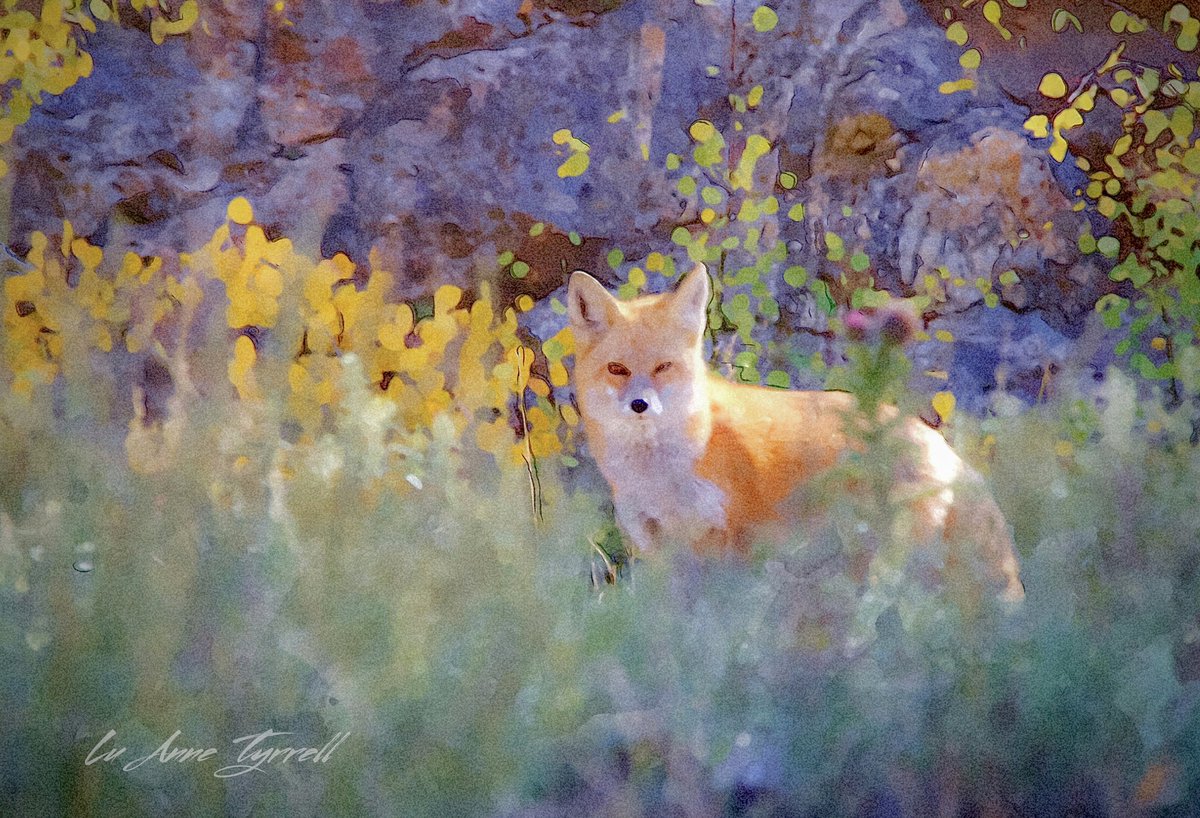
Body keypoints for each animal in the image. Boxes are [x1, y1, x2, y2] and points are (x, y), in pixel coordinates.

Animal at [567, 263, 1024, 602]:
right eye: (617, 369)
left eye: (663, 367)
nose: (639, 405)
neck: (660, 476)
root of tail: (938, 443)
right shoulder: (655, 547)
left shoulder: (727, 539)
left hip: (881, 564)